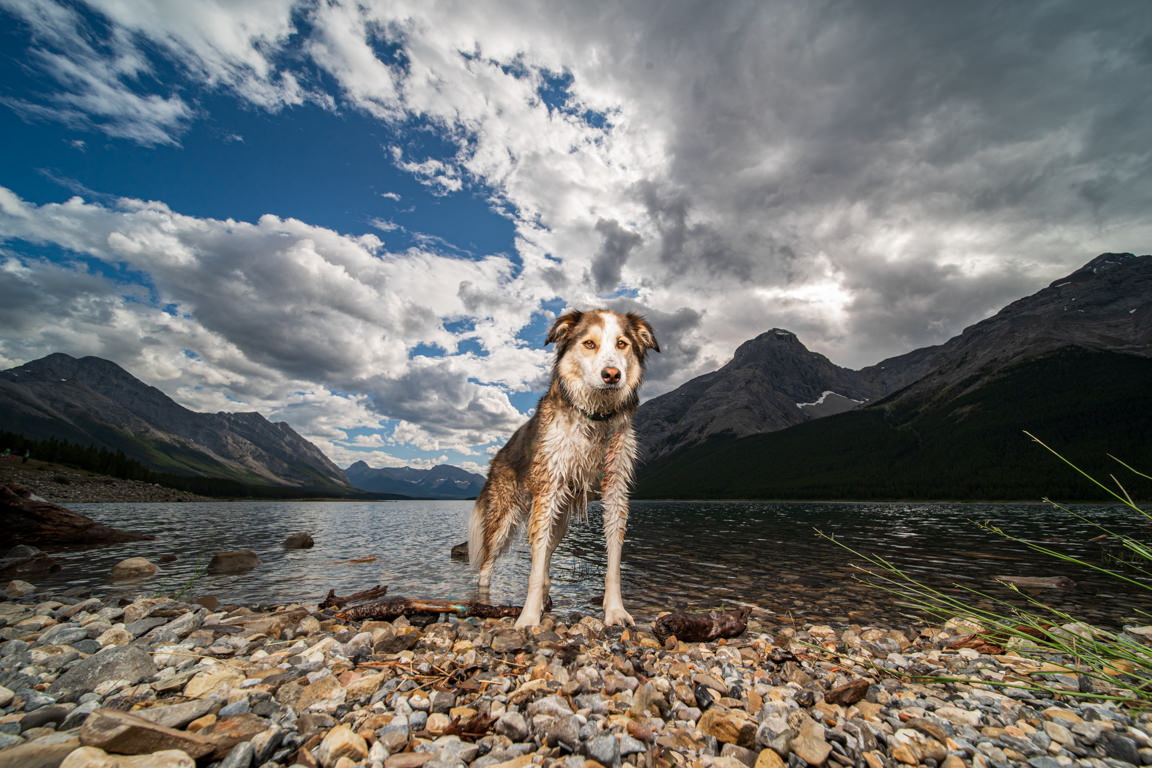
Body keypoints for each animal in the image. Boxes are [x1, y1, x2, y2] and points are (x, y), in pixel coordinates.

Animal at [467, 308, 663, 626]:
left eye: (622, 344)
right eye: (589, 344)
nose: (612, 375)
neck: (595, 418)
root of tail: (497, 457)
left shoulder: (616, 489)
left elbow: (613, 562)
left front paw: (615, 610)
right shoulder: (548, 488)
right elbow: (534, 570)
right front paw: (528, 619)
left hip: (560, 520)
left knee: (546, 554)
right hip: (503, 519)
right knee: (487, 566)